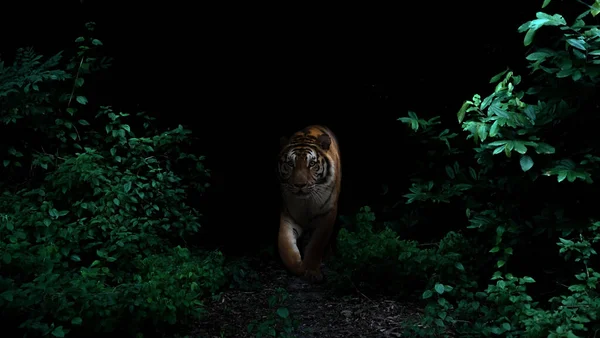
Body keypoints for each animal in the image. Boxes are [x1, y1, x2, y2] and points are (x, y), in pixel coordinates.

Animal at [276, 124, 342, 282]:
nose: (300, 185)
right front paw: (298, 267)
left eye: (311, 164)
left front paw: (312, 271)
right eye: (290, 164)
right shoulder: (288, 215)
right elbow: (285, 246)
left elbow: (316, 245)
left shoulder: (327, 215)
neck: (306, 203)